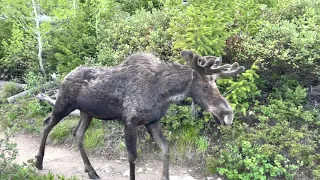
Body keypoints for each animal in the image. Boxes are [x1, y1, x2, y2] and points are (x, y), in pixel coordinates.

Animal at [35, 49, 245, 180]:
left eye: (216, 83)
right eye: (204, 86)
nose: (228, 114)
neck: (163, 93)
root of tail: (65, 75)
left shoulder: (152, 122)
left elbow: (166, 149)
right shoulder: (130, 122)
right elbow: (133, 157)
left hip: (87, 113)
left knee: (77, 134)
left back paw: (91, 172)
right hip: (64, 104)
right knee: (46, 123)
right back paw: (38, 162)